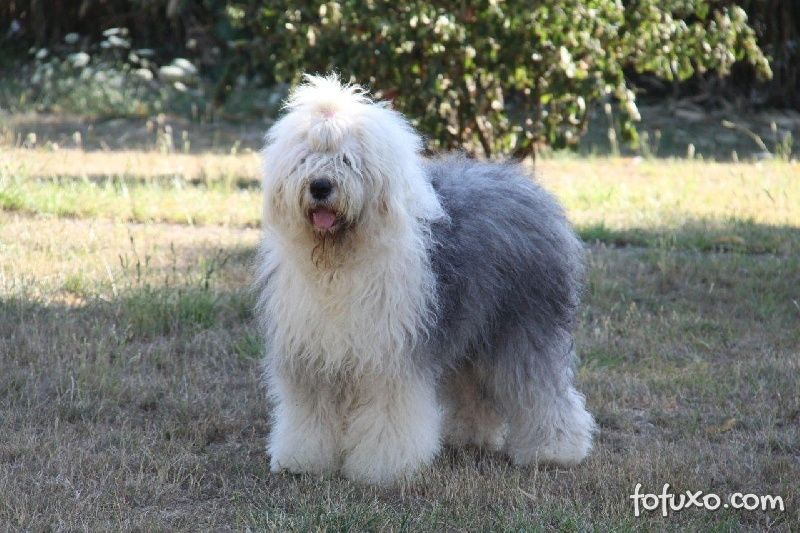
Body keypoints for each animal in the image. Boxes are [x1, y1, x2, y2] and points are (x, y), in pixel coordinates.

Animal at [256, 75, 592, 486]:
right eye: (304, 158)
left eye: (348, 160)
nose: (320, 186)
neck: (340, 261)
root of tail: (524, 183)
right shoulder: (311, 353)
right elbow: (309, 413)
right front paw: (302, 461)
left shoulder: (390, 356)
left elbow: (388, 414)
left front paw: (383, 467)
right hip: (471, 331)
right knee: (473, 388)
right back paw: (470, 437)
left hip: (523, 325)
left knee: (541, 390)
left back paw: (555, 450)